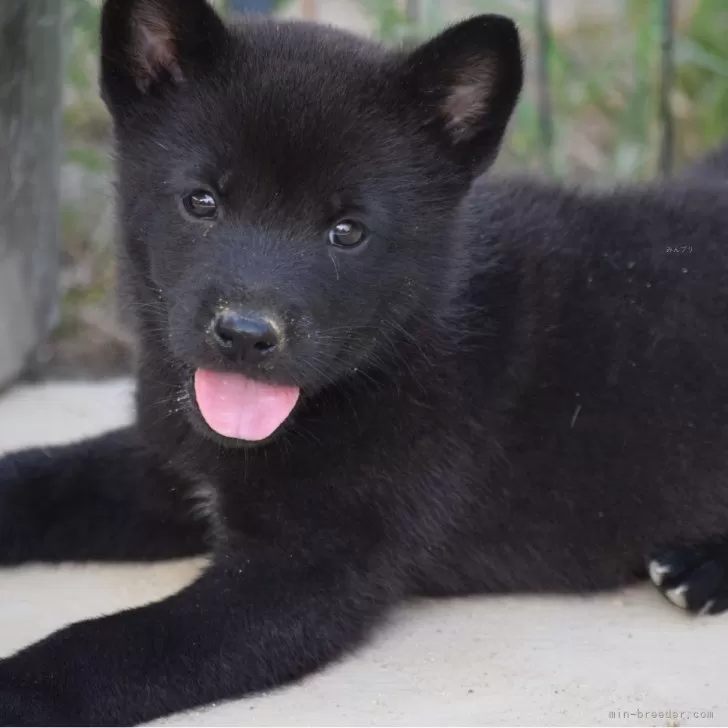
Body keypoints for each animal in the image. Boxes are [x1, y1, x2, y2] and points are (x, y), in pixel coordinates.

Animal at [1, 0, 728, 724]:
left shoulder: (308, 574)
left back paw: (700, 572)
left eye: (347, 232)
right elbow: (46, 477)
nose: (245, 335)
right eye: (201, 201)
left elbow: (112, 644)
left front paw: (19, 686)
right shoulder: (168, 472)